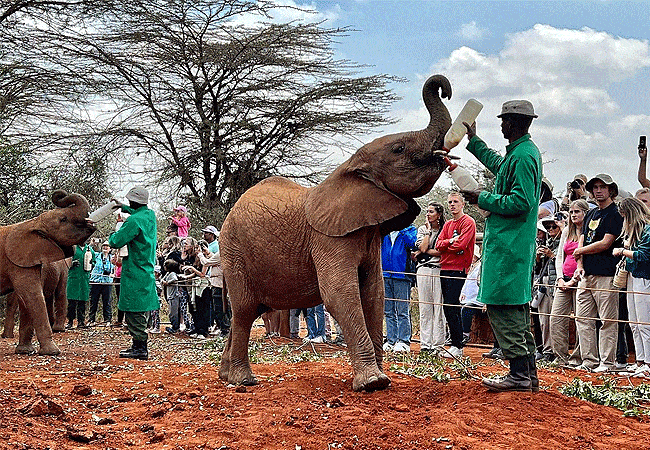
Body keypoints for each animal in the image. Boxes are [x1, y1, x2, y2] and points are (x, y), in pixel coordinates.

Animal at [0, 190, 95, 356]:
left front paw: (25, 351)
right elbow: (33, 296)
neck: (33, 223)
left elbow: (25, 299)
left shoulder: (26, 260)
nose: (59, 194)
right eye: (63, 219)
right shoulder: (17, 262)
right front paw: (52, 351)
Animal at [218, 73, 450, 390]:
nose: (444, 89)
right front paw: (373, 383)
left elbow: (374, 293)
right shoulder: (328, 238)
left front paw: (382, 379)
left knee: (248, 312)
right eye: (399, 149)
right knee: (242, 310)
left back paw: (225, 376)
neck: (349, 168)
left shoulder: (369, 234)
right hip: (234, 250)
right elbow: (341, 293)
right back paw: (243, 381)